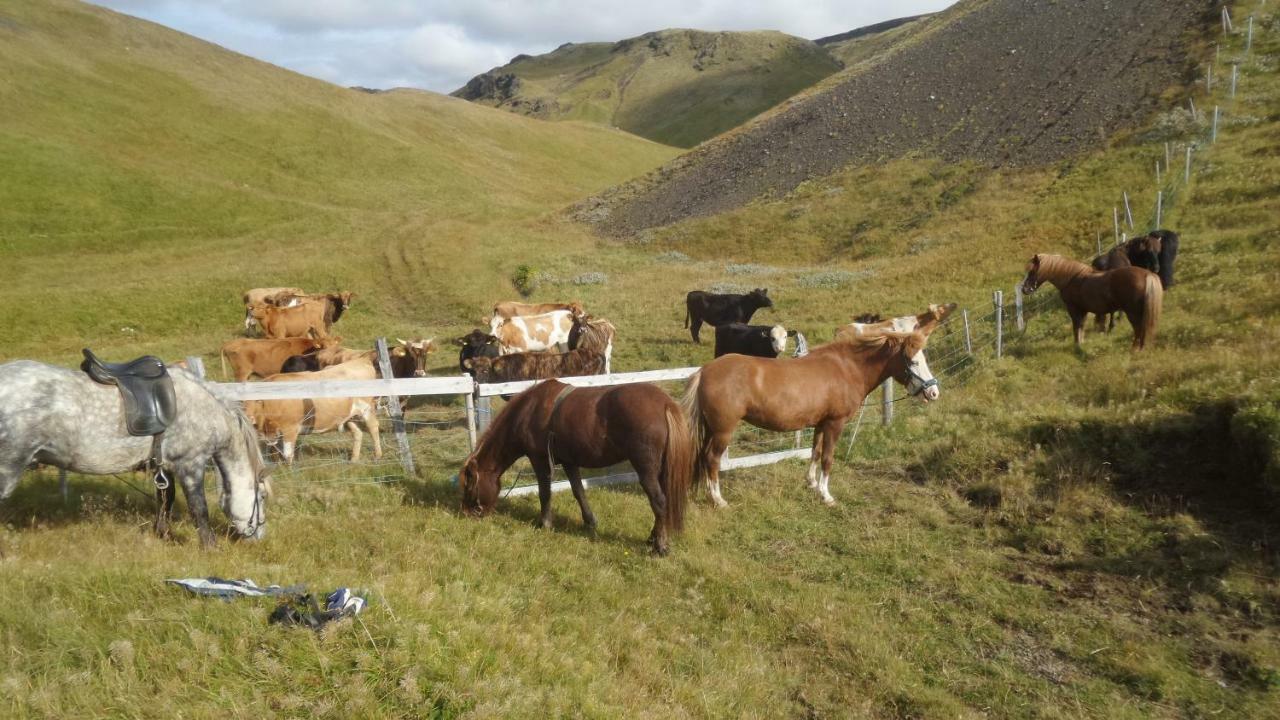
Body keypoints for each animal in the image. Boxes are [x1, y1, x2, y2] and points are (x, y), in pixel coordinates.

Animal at [0, 358, 270, 543]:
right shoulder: (190, 463)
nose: (259, 536)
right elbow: (198, 508)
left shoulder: (163, 465)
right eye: (262, 498)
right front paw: (209, 546)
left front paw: (163, 534)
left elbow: (166, 499)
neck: (204, 408)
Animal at [458, 379, 691, 550]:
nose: (467, 514)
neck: (529, 411)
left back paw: (659, 546)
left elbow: (545, 493)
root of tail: (666, 404)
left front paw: (545, 524)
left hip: (646, 469)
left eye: (469, 484)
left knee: (658, 501)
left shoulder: (539, 460)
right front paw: (590, 522)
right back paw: (653, 538)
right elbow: (579, 491)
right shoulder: (570, 462)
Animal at [680, 301, 952, 504]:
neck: (847, 368)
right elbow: (828, 458)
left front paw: (811, 483)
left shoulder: (821, 423)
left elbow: (815, 452)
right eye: (914, 361)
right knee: (712, 459)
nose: (934, 392)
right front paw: (826, 495)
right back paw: (718, 500)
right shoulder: (835, 424)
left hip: (711, 429)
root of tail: (705, 371)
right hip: (723, 430)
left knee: (703, 457)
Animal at [1024, 252, 1167, 351]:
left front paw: (1077, 345)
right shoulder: (1084, 310)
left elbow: (1076, 327)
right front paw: (1081, 343)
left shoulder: (1074, 309)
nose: (1024, 289)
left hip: (1132, 313)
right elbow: (1081, 326)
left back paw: (1135, 349)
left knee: (1138, 329)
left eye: (1032, 271)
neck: (1071, 278)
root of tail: (1147, 274)